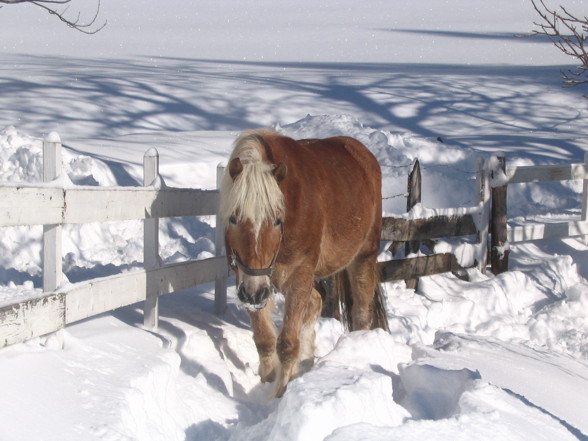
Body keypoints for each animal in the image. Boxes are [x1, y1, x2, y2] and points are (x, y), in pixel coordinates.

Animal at [218, 129, 388, 398]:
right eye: (233, 218)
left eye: (277, 220)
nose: (253, 295)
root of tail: (363, 154)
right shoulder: (248, 280)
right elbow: (264, 339)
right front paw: (267, 381)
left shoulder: (298, 276)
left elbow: (287, 344)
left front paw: (280, 393)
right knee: (317, 300)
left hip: (364, 256)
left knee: (361, 313)